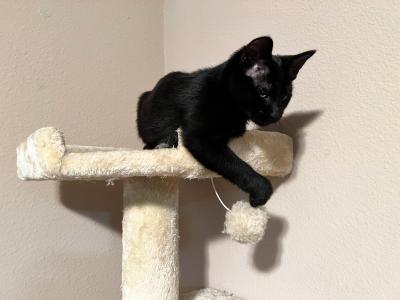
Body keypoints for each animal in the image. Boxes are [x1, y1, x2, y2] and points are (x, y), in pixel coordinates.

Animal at [138, 37, 316, 206]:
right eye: (263, 92)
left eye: (285, 98)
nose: (275, 114)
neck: (226, 97)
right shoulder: (199, 137)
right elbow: (236, 165)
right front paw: (261, 191)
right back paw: (164, 142)